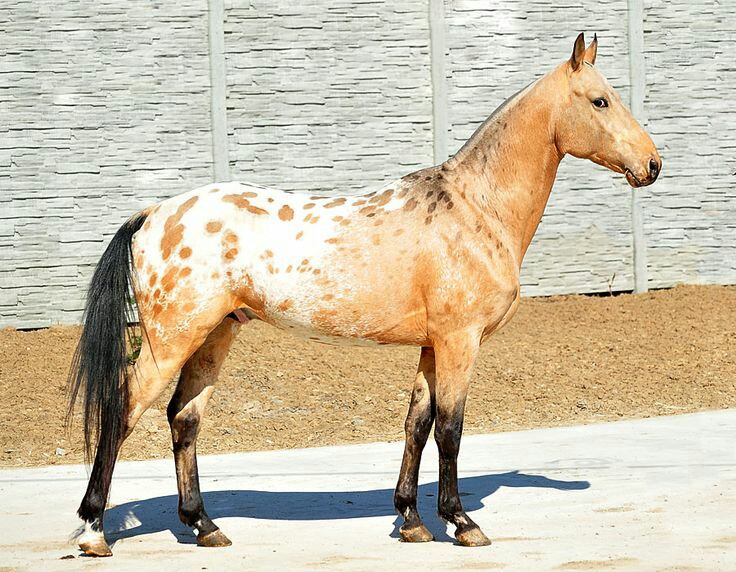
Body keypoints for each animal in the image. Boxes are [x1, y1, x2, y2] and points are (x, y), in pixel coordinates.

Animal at [69, 33, 660, 556]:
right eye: (601, 100)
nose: (653, 164)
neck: (475, 208)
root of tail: (155, 213)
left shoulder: (432, 346)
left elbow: (417, 424)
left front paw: (412, 521)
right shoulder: (459, 342)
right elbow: (450, 429)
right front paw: (461, 522)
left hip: (214, 335)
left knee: (184, 418)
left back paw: (204, 527)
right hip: (172, 339)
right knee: (124, 409)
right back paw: (94, 531)